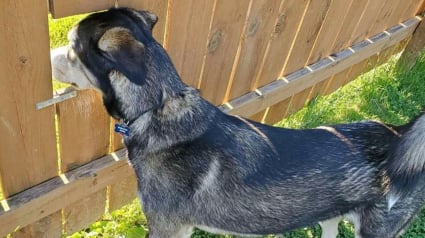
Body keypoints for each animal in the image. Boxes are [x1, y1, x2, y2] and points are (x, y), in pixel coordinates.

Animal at [51, 7, 424, 238]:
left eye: (70, 47)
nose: (50, 58)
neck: (159, 108)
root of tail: (400, 133)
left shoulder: (167, 227)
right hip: (330, 218)